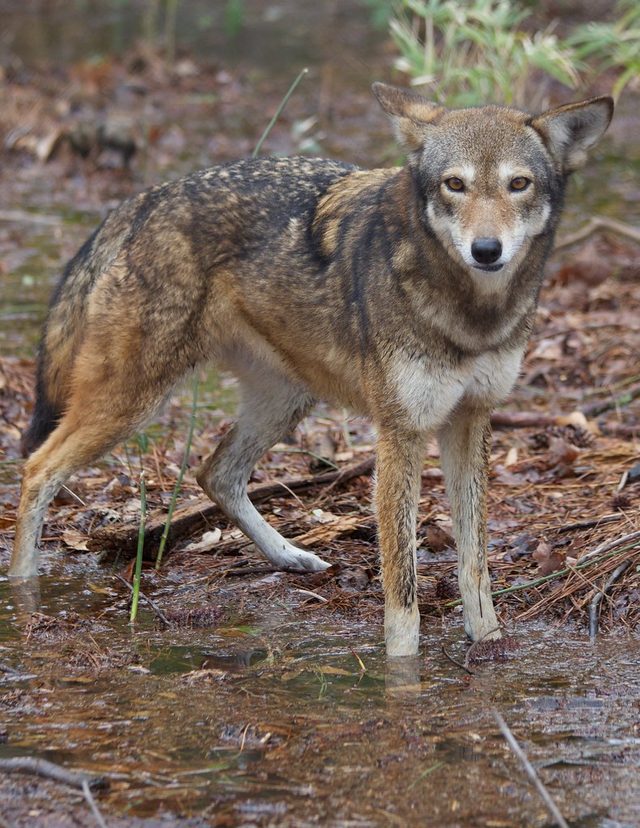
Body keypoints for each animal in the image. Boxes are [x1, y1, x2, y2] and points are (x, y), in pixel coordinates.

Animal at [10, 83, 613, 657]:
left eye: (518, 184)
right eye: (455, 185)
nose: (486, 250)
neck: (471, 314)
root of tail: (145, 199)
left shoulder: (470, 420)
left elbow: (474, 562)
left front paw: (488, 642)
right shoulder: (401, 433)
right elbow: (402, 582)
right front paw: (403, 668)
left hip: (284, 404)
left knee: (214, 473)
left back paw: (291, 556)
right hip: (132, 404)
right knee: (37, 469)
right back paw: (21, 587)